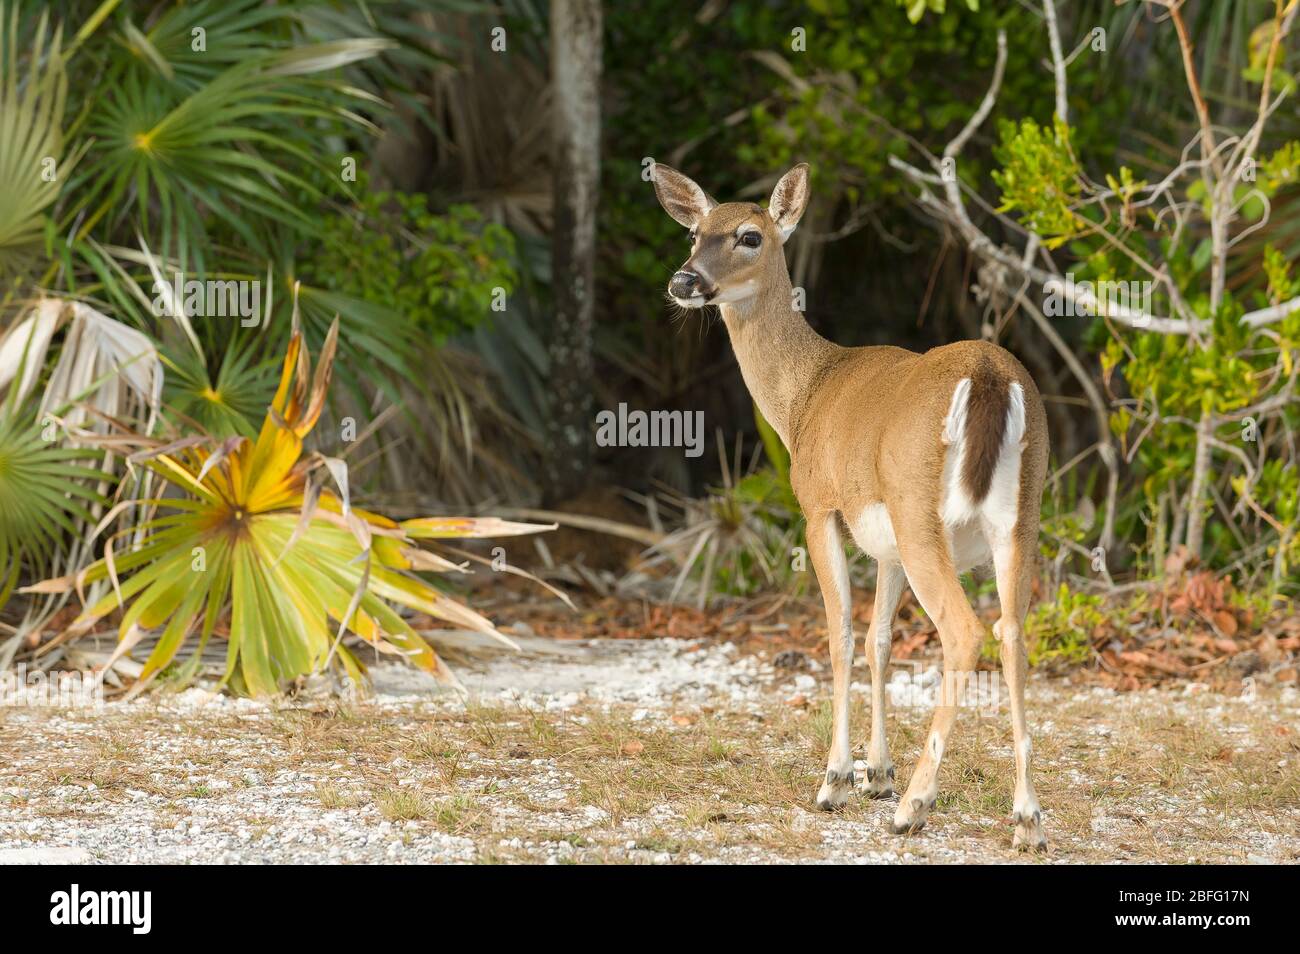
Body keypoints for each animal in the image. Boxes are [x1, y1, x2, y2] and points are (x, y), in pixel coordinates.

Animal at [651, 162, 1049, 850]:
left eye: (750, 235)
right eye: (696, 232)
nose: (684, 281)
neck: (803, 399)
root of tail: (991, 378)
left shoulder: (819, 508)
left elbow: (837, 633)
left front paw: (838, 780)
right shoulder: (883, 541)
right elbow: (878, 640)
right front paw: (877, 773)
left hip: (921, 513)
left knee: (965, 631)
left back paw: (916, 805)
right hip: (1020, 517)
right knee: (1014, 633)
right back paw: (1026, 817)